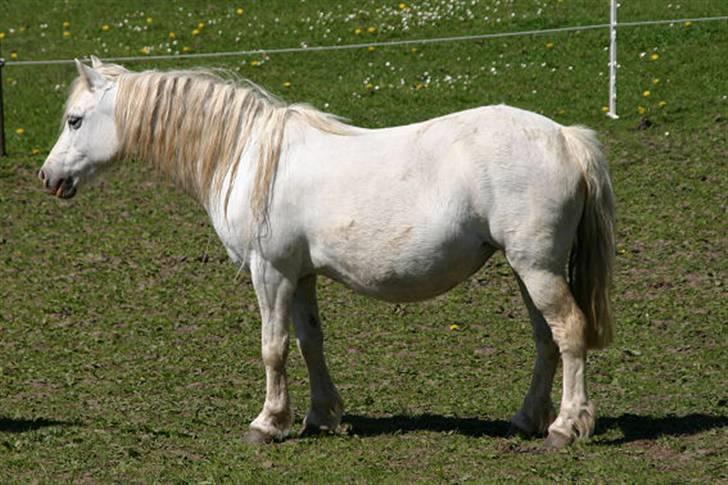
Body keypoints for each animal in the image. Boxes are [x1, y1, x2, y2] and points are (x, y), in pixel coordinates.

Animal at [41, 56, 616, 446]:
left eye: (74, 120)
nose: (48, 177)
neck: (248, 153)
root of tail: (566, 138)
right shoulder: (300, 276)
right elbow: (309, 342)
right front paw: (319, 416)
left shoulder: (270, 273)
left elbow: (273, 348)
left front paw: (267, 424)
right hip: (526, 270)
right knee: (546, 340)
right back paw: (526, 420)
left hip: (537, 268)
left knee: (569, 333)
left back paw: (565, 427)